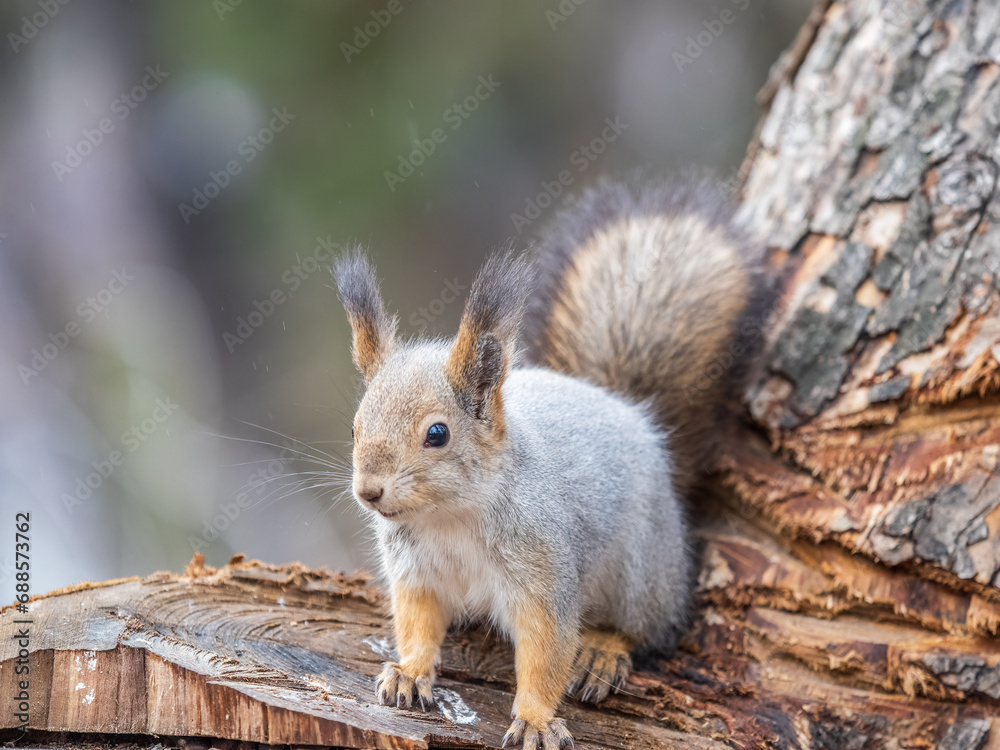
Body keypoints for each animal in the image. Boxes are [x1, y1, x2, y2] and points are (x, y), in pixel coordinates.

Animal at [333, 174, 760, 750]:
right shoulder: (417, 574)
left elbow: (546, 651)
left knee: (644, 626)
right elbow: (418, 624)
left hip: (644, 572)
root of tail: (634, 416)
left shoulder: (544, 573)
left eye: (437, 434)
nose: (368, 491)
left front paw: (535, 718)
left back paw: (603, 651)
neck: (450, 517)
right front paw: (409, 671)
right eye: (356, 426)